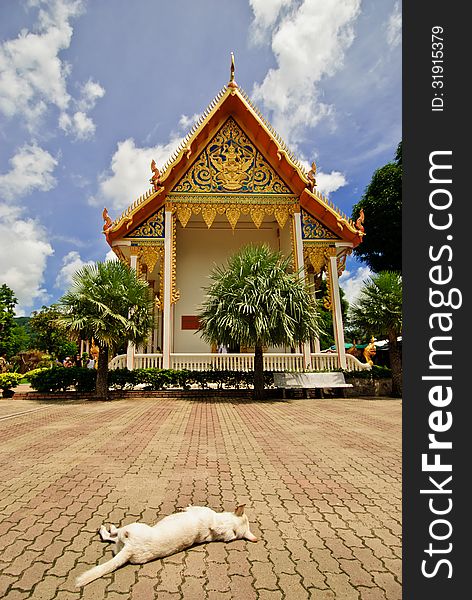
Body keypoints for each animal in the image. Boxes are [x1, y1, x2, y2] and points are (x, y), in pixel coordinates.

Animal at [75, 506, 258, 584]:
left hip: (131, 528)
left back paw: (107, 528)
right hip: (121, 543)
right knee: (112, 539)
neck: (218, 525)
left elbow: (190, 507)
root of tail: (131, 549)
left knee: (111, 534)